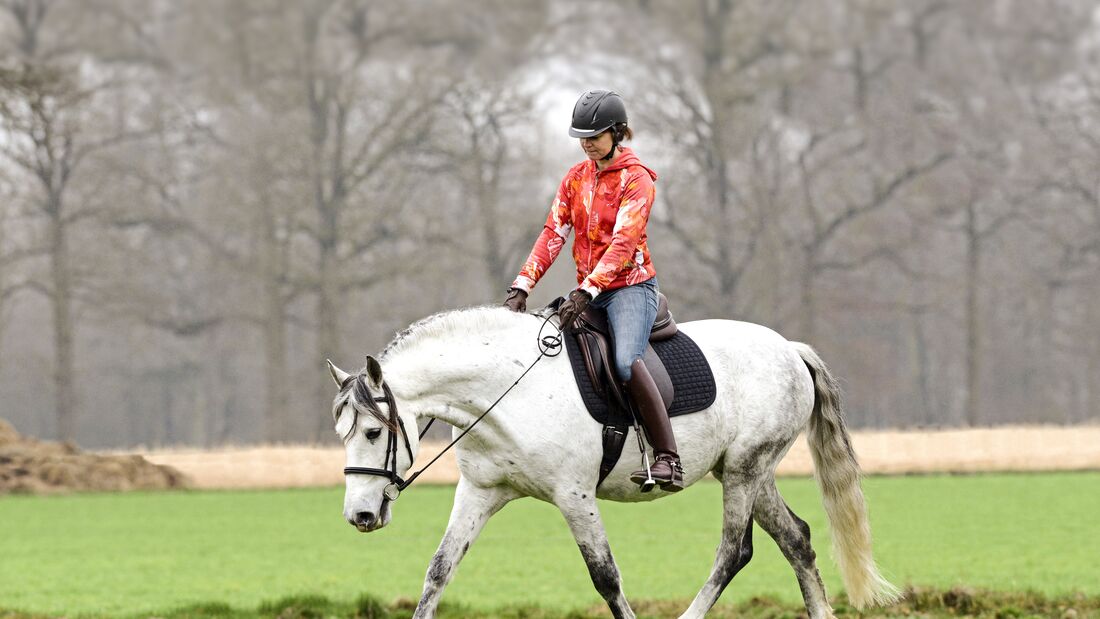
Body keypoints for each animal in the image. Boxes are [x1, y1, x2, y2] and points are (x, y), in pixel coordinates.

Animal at [323, 305, 893, 619]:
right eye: (342, 434)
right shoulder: (480, 492)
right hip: (748, 472)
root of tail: (790, 349)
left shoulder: (573, 496)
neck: (507, 390)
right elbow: (439, 571)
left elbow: (606, 578)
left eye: (373, 432)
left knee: (734, 551)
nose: (359, 516)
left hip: (744, 472)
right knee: (797, 540)